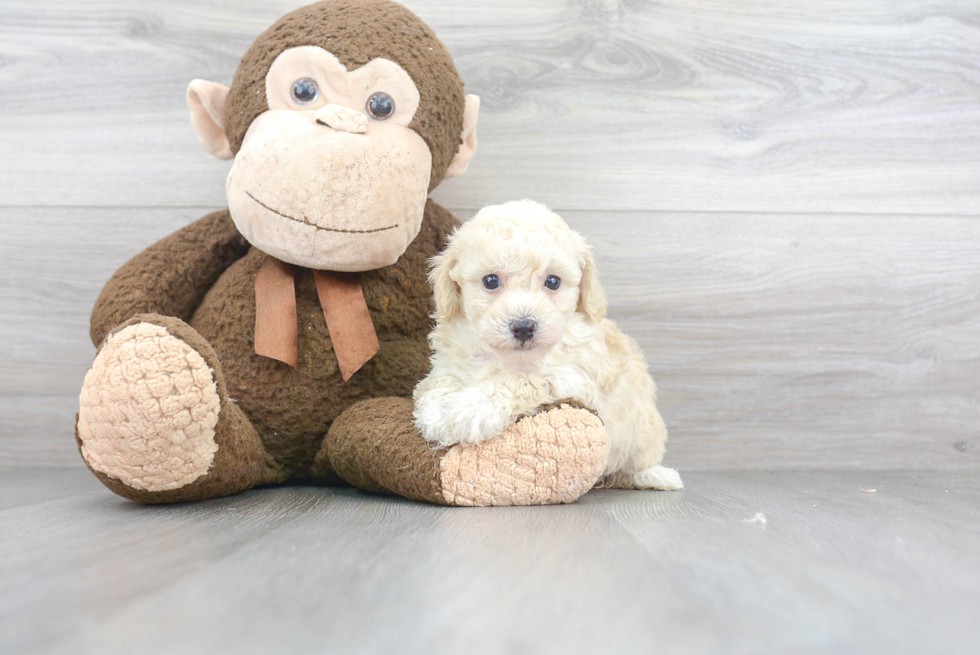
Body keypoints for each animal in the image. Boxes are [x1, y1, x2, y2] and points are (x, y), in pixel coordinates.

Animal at [412, 200, 680, 492]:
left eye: (553, 281)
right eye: (491, 281)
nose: (524, 327)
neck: (506, 358)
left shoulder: (573, 376)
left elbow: (520, 379)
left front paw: (471, 409)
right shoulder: (452, 360)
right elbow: (441, 380)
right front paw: (437, 413)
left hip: (644, 435)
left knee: (637, 465)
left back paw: (658, 476)